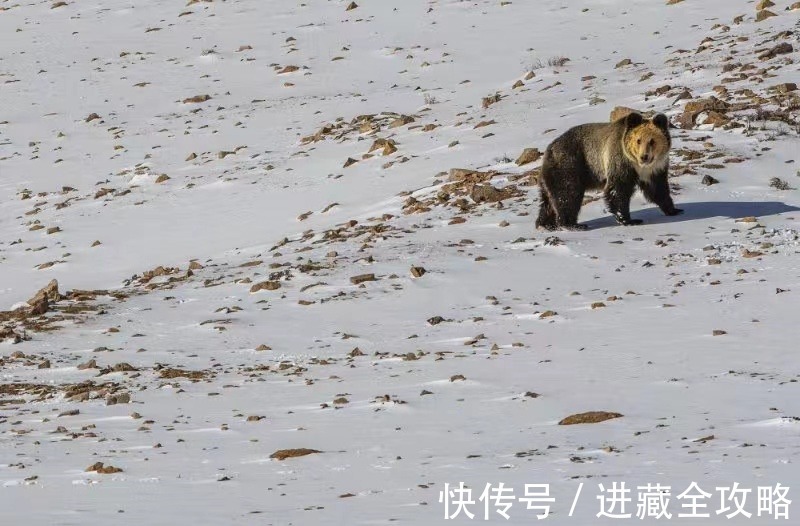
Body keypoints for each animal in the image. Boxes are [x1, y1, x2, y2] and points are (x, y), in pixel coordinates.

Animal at [536, 112, 680, 230]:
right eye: (638, 140)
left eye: (652, 141)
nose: (644, 156)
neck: (639, 166)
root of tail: (549, 149)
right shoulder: (620, 161)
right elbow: (618, 190)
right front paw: (628, 219)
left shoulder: (655, 170)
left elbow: (658, 189)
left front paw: (674, 210)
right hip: (570, 165)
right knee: (568, 194)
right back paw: (573, 224)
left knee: (548, 201)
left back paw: (545, 224)